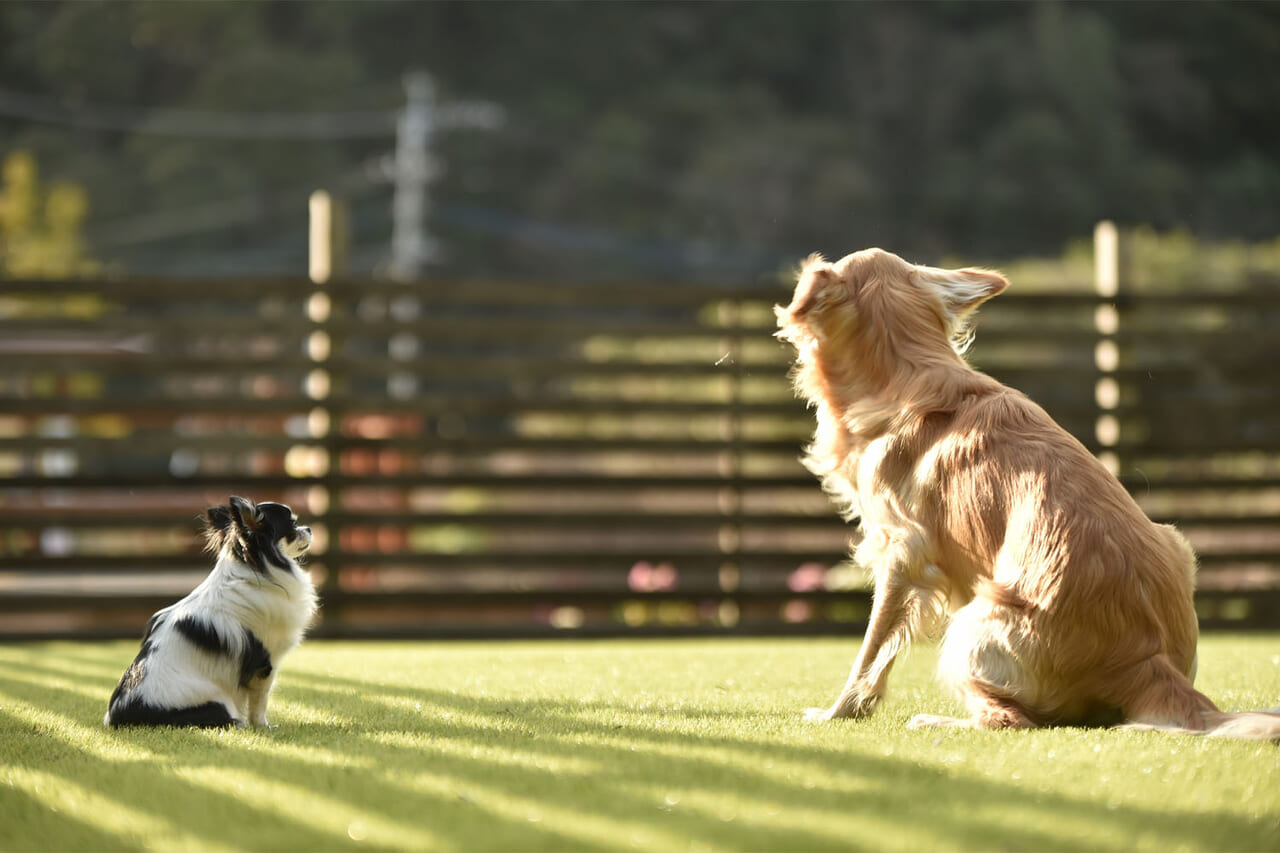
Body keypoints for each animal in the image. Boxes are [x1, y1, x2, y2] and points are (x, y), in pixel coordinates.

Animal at [107, 494, 322, 727]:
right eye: (292, 525)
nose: (309, 528)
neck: (253, 573)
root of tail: (118, 718)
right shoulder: (266, 662)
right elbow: (260, 701)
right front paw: (263, 726)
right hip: (218, 704)